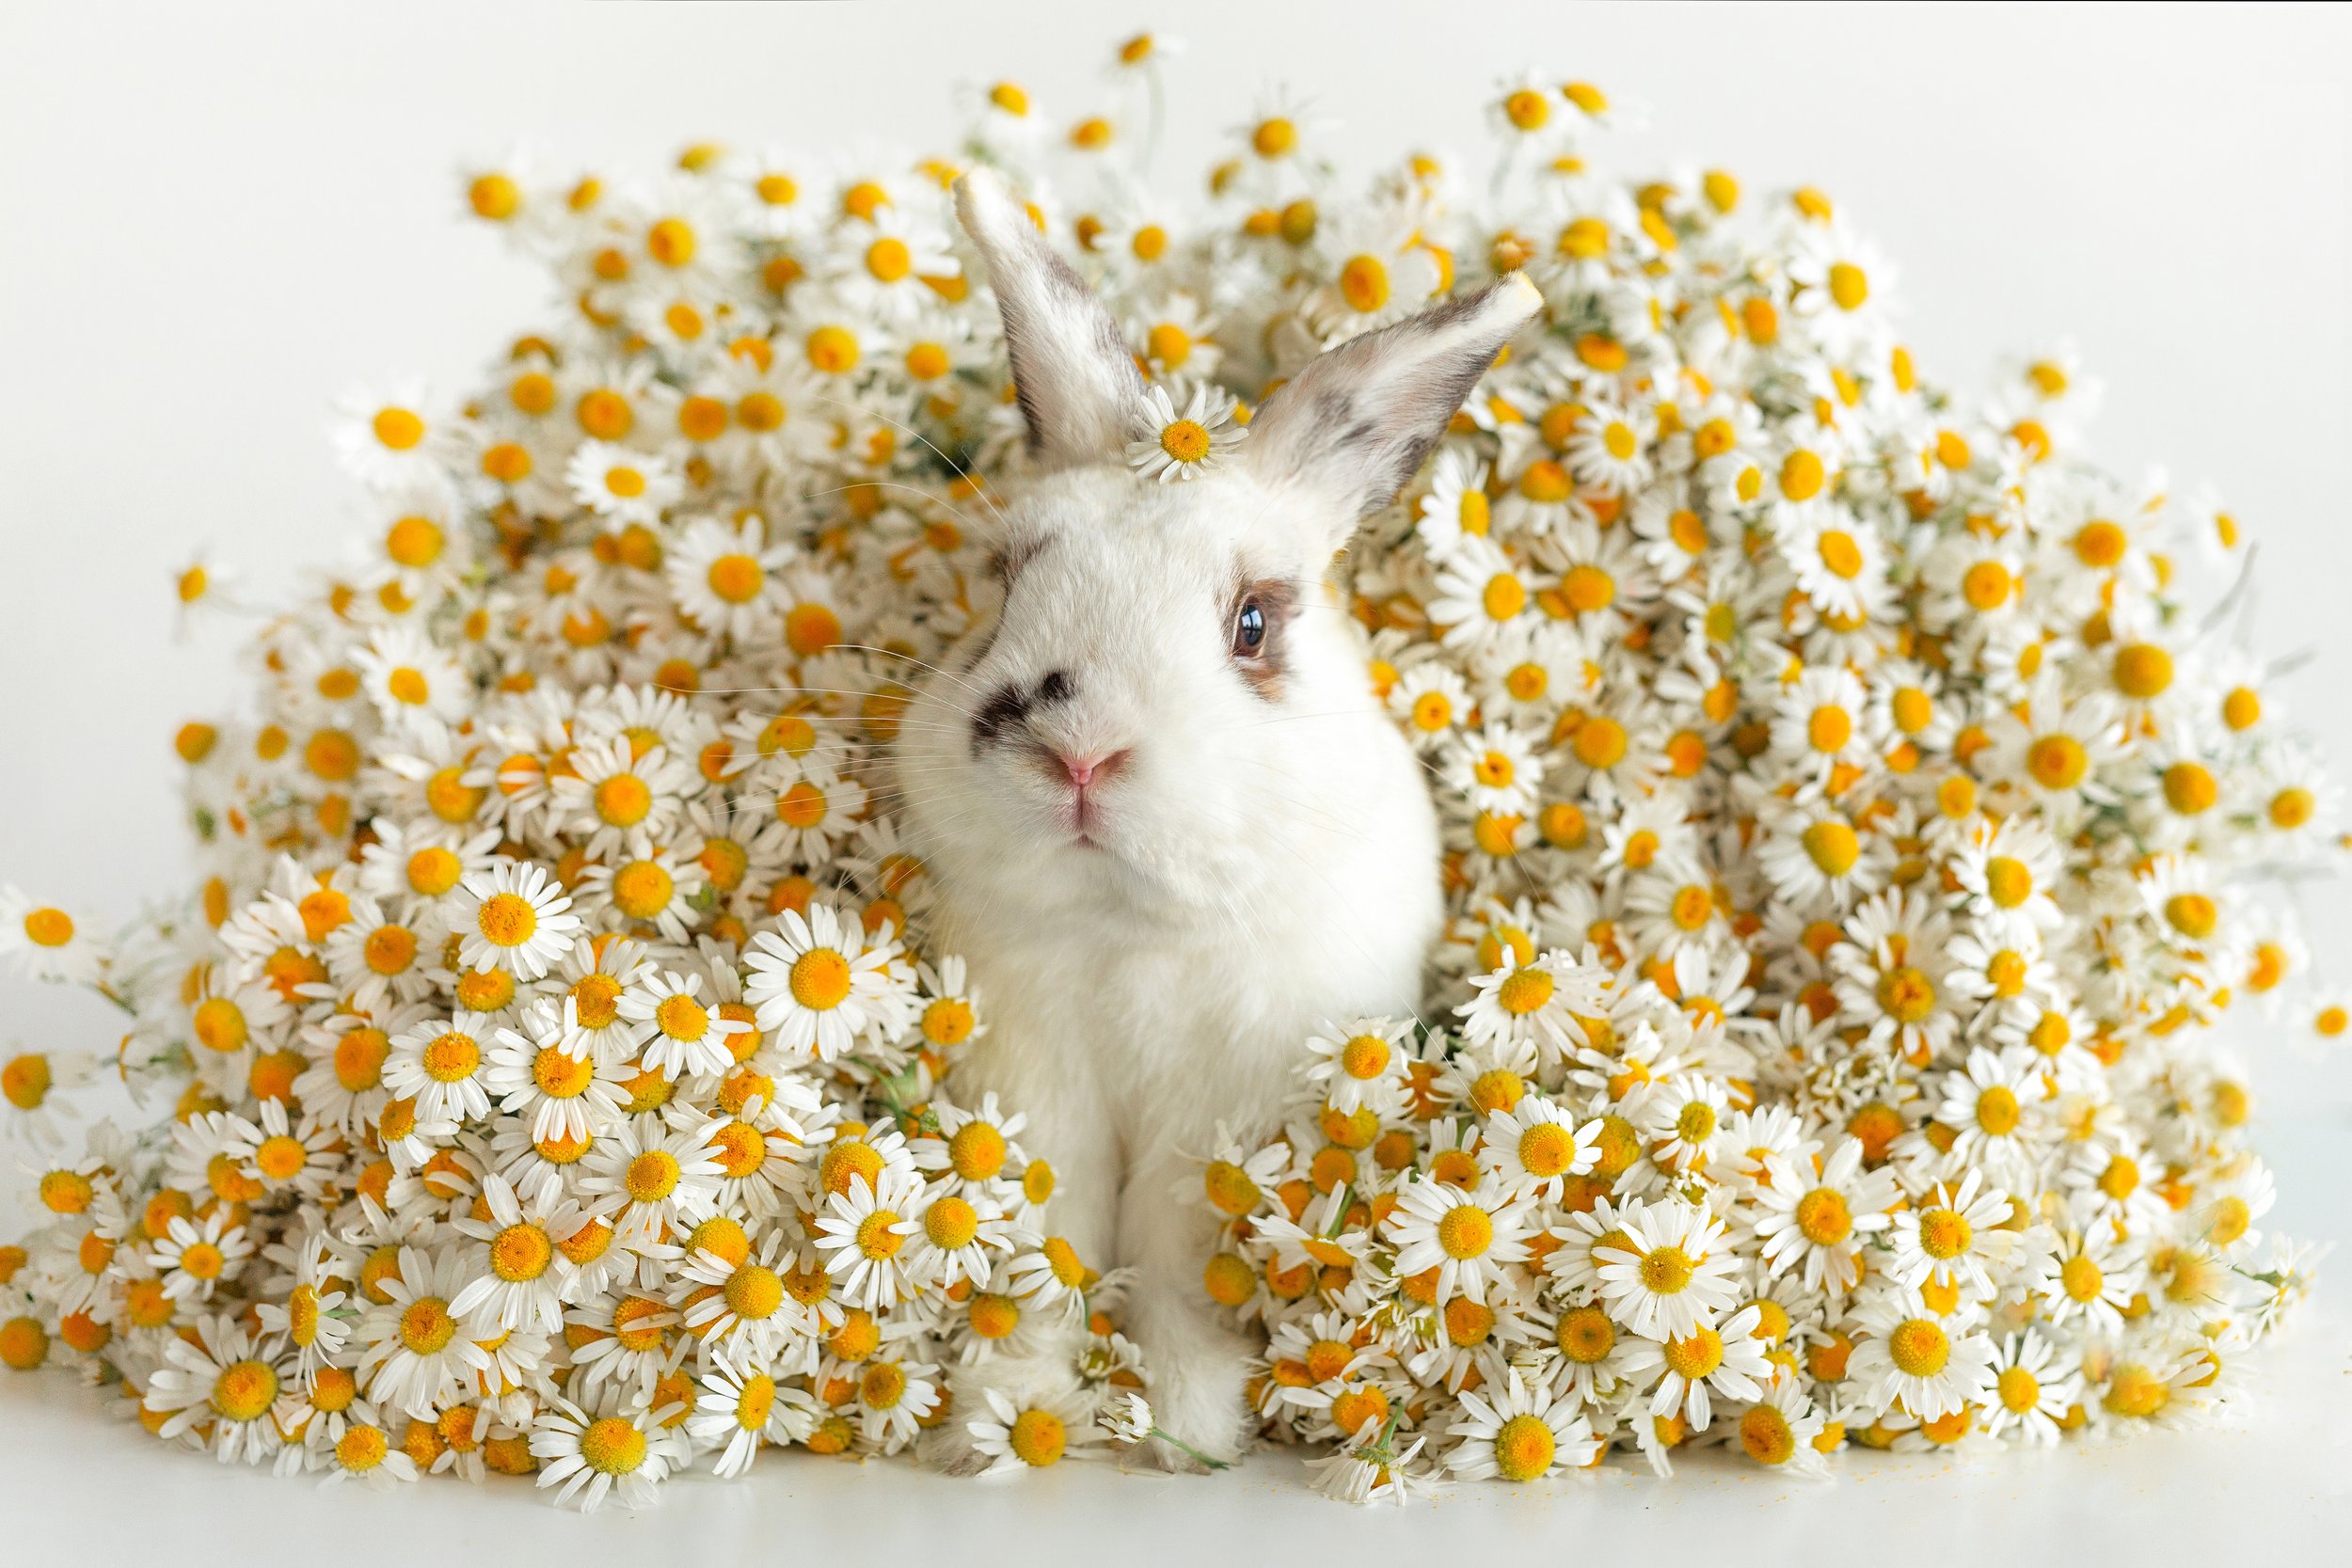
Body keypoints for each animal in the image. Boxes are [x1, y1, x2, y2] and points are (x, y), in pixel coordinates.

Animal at [897, 167, 1542, 1473]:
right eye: (1008, 580)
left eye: (1253, 621)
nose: (1079, 752)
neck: (1129, 931)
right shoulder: (1033, 1088)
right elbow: (1041, 1258)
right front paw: (1002, 1410)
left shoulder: (1222, 1123)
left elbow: (1184, 1269)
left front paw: (1194, 1423)